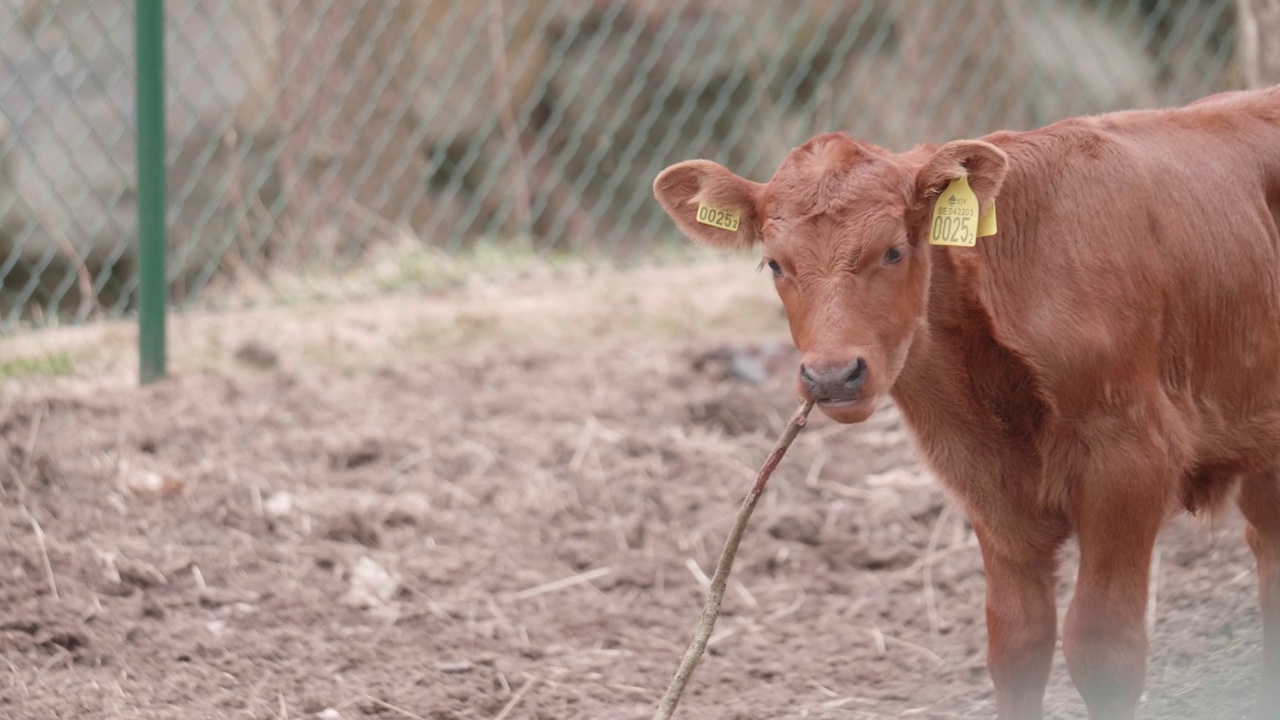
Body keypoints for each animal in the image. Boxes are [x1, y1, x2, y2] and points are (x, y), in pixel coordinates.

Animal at [660, 85, 1280, 717]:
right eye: (775, 264)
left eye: (893, 251)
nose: (832, 376)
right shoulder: (986, 481)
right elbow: (1017, 640)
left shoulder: (1130, 463)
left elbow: (1103, 644)